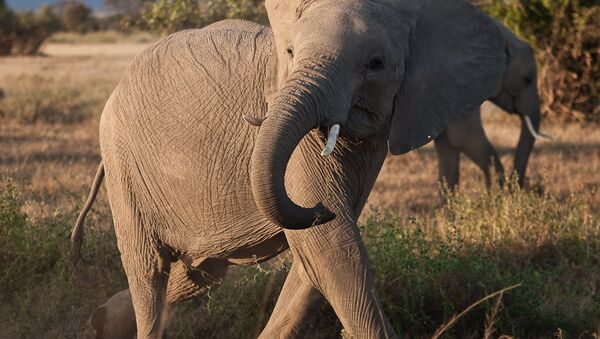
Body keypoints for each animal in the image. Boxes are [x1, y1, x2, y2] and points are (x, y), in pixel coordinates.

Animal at [71, 1, 506, 338]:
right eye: (292, 52)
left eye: (375, 64)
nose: (318, 208)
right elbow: (333, 248)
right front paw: (326, 216)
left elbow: (315, 263)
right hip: (122, 161)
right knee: (149, 271)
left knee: (200, 274)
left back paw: (101, 321)